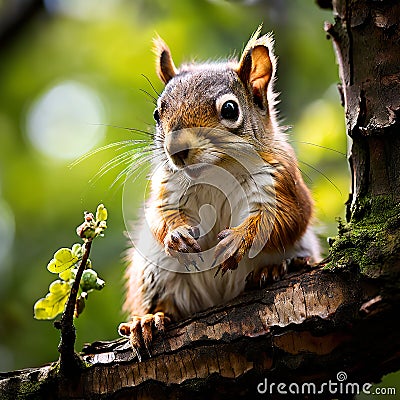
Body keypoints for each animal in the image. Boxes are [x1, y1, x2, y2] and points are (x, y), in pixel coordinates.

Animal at [117, 26, 320, 358]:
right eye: (158, 113)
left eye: (230, 109)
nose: (176, 150)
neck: (216, 170)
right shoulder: (165, 186)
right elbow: (159, 216)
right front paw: (176, 235)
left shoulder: (282, 180)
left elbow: (286, 217)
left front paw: (239, 240)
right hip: (154, 270)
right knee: (164, 303)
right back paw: (148, 320)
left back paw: (274, 269)